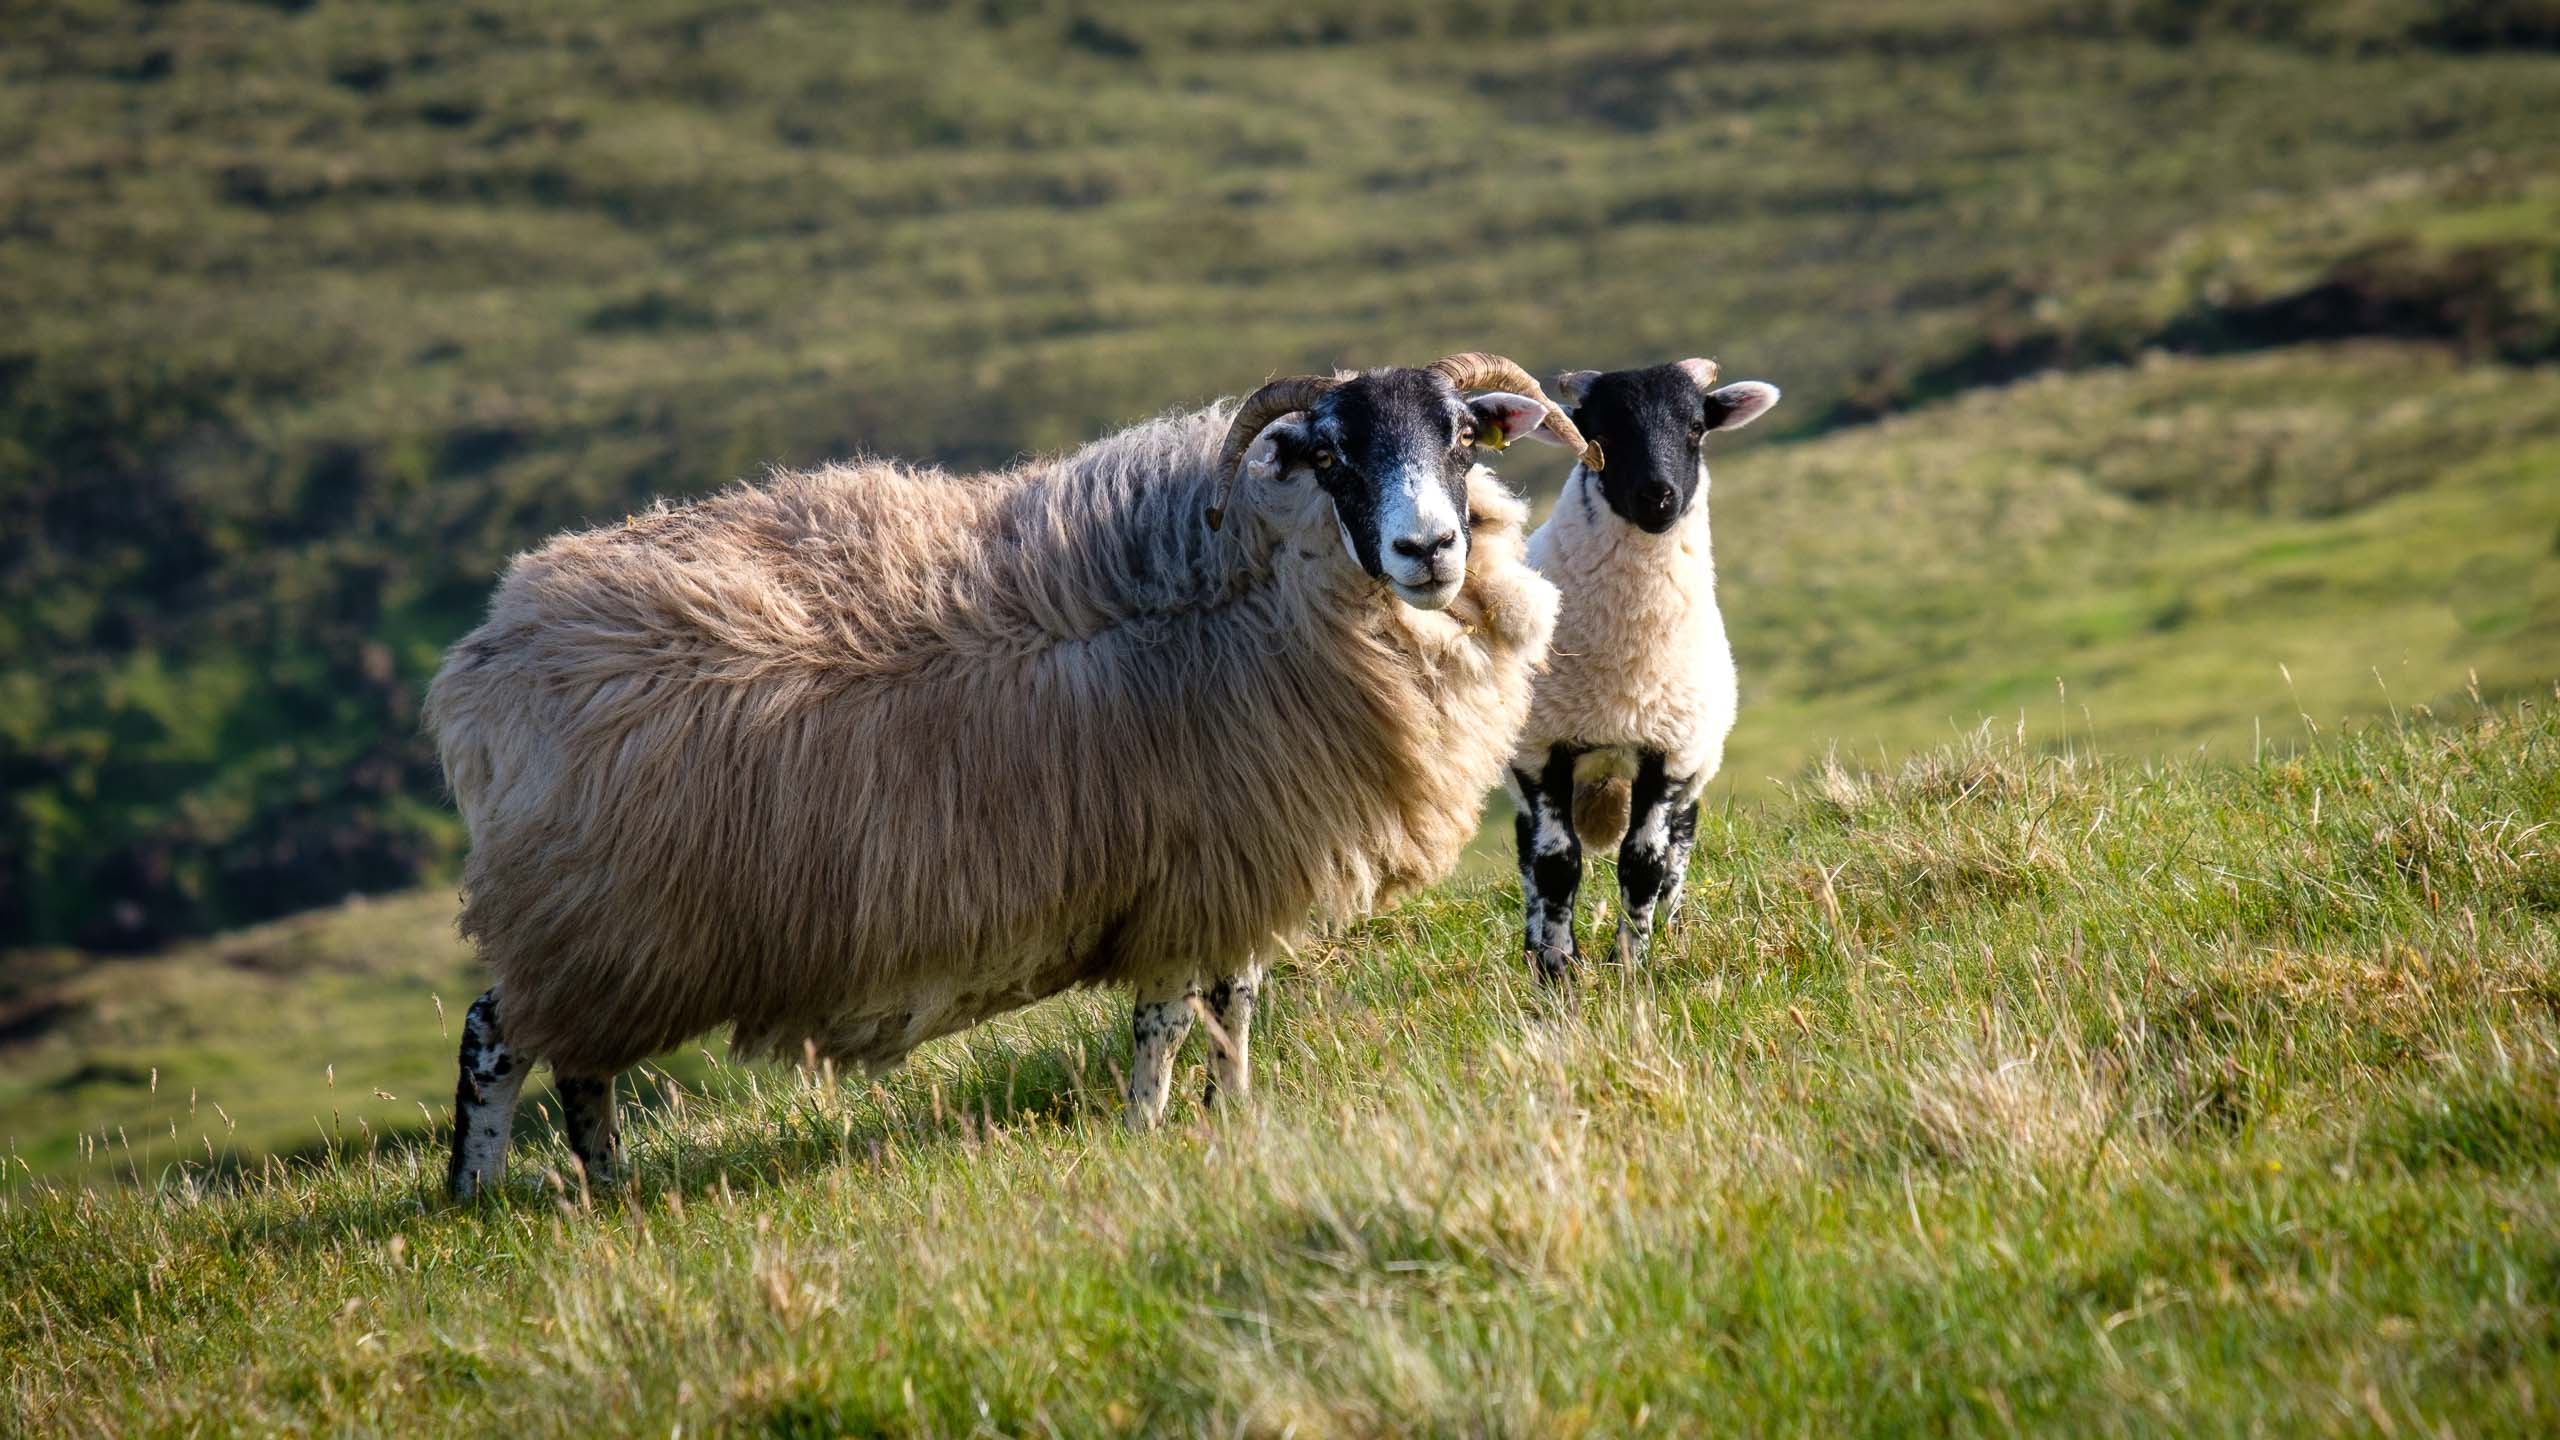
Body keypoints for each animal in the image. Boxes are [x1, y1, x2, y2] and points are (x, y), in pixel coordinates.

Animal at [425, 354, 1601, 1197]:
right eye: (1331, 455)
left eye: (1460, 438)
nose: (1429, 550)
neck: (1241, 584)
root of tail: (484, 657)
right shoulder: (1185, 875)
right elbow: (1170, 1017)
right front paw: (1147, 1128)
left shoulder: (1237, 867)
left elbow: (1235, 1005)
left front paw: (1231, 1114)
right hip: (593, 915)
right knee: (497, 1037)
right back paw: (481, 1197)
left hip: (607, 935)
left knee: (575, 1064)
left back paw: (606, 1191)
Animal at [1503, 357, 1781, 981]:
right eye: (1600, 433)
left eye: (1697, 428)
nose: (1658, 496)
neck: (1626, 661)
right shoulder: (1540, 750)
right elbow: (1556, 863)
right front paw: (1558, 968)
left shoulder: (1670, 751)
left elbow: (1644, 861)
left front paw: (1630, 963)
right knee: (1529, 848)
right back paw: (1535, 948)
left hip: (1696, 764)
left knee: (1679, 842)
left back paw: (1670, 929)